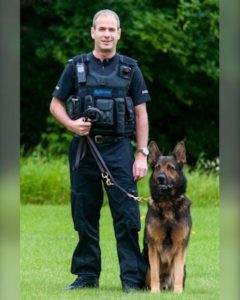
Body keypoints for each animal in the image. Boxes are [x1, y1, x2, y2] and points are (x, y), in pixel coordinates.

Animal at [143, 141, 192, 292]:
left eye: (170, 167)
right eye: (157, 167)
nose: (160, 178)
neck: (167, 204)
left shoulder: (180, 246)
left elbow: (178, 273)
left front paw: (178, 292)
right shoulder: (153, 246)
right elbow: (154, 274)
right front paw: (155, 292)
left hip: (184, 268)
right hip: (146, 268)